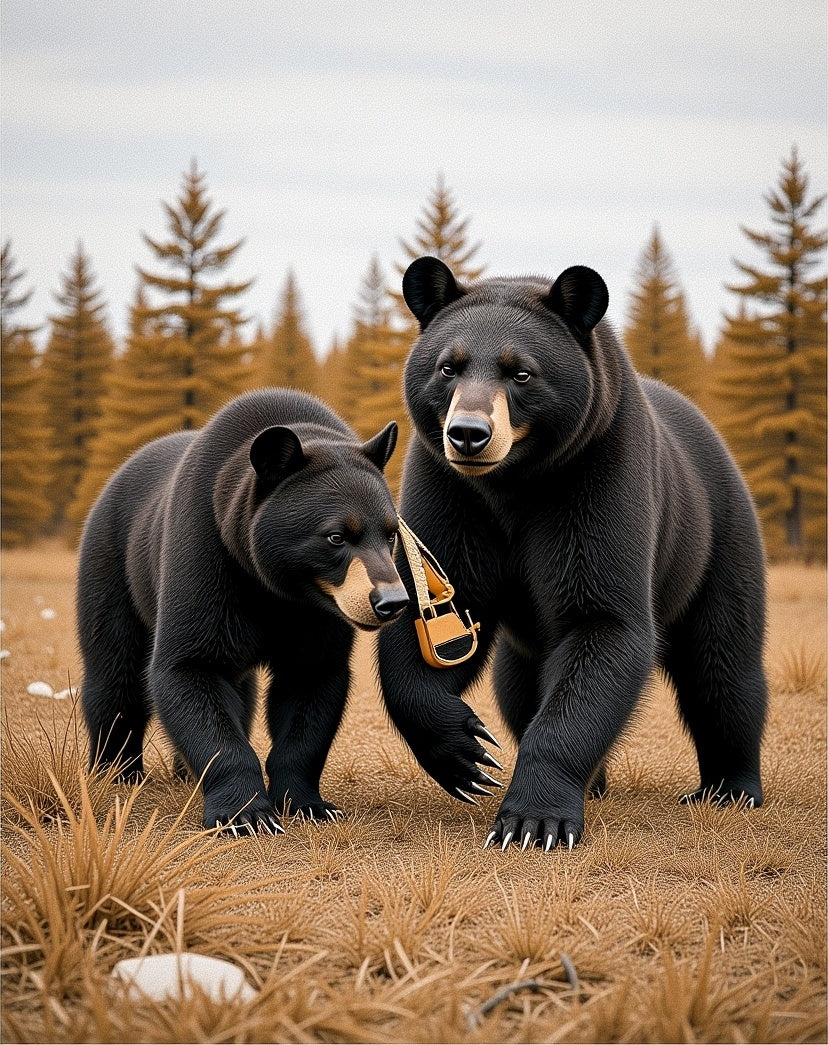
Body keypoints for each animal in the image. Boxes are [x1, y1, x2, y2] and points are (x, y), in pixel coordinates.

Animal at [78, 388, 408, 835]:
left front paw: (308, 804)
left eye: (391, 534)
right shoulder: (207, 551)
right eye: (336, 536)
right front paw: (246, 814)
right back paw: (117, 772)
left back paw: (183, 773)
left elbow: (312, 683)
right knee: (115, 674)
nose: (391, 601)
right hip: (112, 563)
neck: (276, 588)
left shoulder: (318, 612)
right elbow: (188, 667)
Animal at [377, 255, 767, 852]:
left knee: (723, 665)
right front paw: (466, 754)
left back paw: (730, 786)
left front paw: (533, 820)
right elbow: (432, 615)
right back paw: (598, 781)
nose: (468, 434)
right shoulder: (449, 493)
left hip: (717, 542)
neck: (513, 486)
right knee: (517, 689)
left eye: (521, 373)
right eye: (448, 367)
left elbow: (603, 623)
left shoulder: (597, 477)